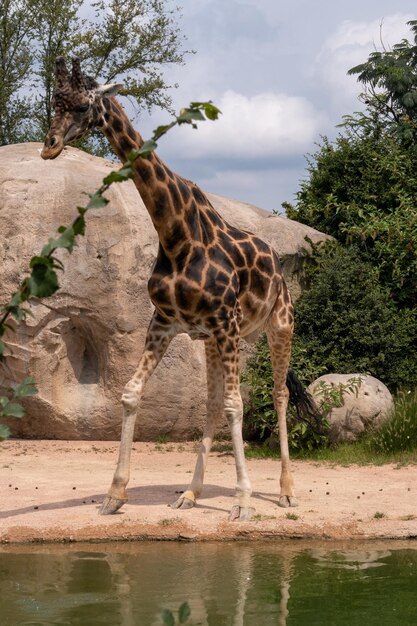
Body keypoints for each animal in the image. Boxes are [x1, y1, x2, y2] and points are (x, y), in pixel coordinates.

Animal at [41, 58, 316, 520]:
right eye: (54, 102)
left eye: (82, 105)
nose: (49, 146)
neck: (176, 235)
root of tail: (278, 266)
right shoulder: (167, 322)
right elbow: (132, 394)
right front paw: (115, 494)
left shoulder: (225, 321)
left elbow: (237, 404)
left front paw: (243, 501)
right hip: (214, 340)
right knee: (211, 401)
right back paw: (190, 493)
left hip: (279, 325)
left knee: (278, 394)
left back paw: (286, 490)